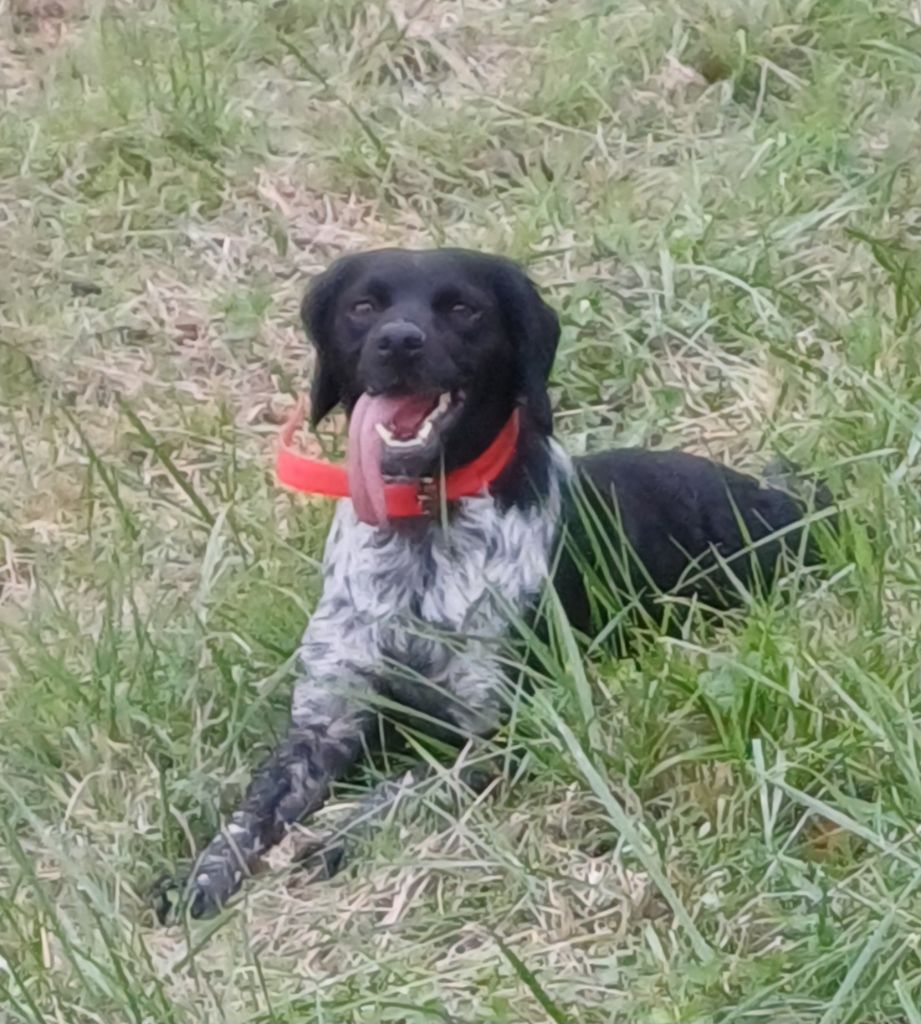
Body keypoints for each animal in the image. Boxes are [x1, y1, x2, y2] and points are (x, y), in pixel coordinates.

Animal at [161, 248, 827, 919]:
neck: (420, 540)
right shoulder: (324, 721)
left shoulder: (501, 730)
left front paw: (338, 834)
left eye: (463, 308)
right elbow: (250, 811)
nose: (398, 341)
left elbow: (405, 783)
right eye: (363, 306)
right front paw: (203, 873)